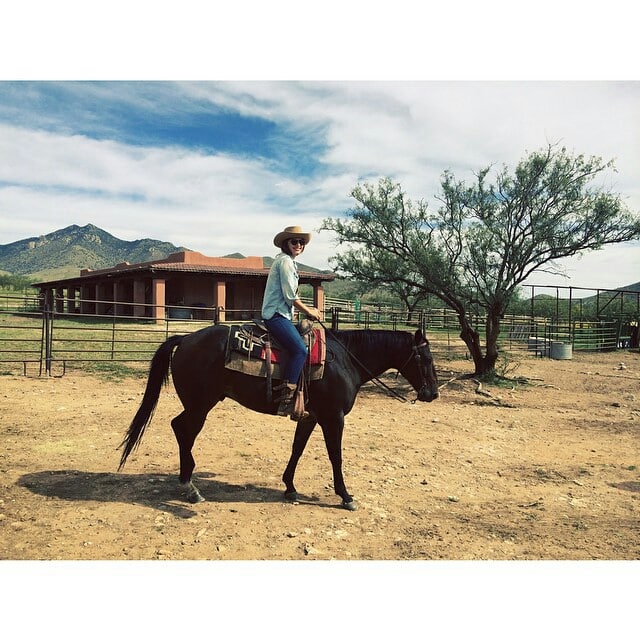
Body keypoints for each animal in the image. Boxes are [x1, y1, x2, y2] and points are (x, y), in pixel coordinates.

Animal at [119, 324, 440, 510]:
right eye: (425, 358)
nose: (433, 394)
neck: (346, 359)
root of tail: (185, 339)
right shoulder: (333, 417)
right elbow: (335, 456)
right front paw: (346, 496)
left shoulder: (311, 416)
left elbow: (297, 449)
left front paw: (290, 488)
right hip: (200, 406)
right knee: (183, 430)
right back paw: (190, 488)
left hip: (199, 404)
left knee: (178, 427)